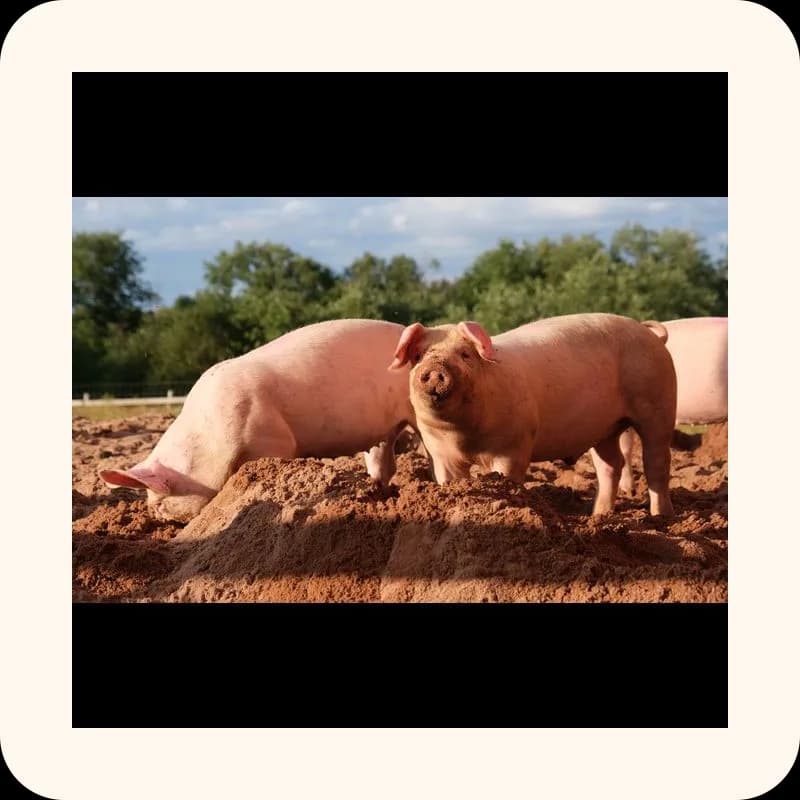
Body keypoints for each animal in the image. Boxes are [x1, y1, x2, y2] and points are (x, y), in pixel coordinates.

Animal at [100, 319, 417, 522]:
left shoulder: (272, 440)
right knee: (383, 460)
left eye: (161, 501)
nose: (156, 517)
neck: (208, 439)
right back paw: (381, 492)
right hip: (384, 430)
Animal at [388, 313, 677, 517]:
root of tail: (649, 334)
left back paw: (660, 517)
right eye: (418, 355)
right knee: (611, 464)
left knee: (656, 461)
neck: (464, 436)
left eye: (465, 354)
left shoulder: (513, 445)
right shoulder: (440, 452)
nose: (435, 369)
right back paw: (598, 515)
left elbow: (506, 478)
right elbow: (449, 480)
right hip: (605, 428)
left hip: (658, 404)